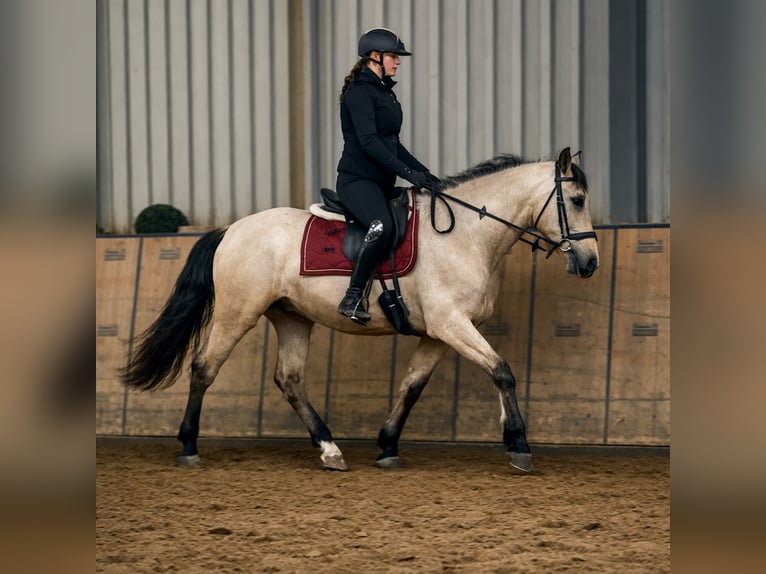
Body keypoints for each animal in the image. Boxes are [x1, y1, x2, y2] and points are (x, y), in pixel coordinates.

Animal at [120, 147, 599, 473]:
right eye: (576, 200)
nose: (590, 262)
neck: (465, 235)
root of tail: (230, 230)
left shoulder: (437, 334)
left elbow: (411, 386)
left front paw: (387, 446)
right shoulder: (452, 325)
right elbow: (502, 371)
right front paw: (518, 444)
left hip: (292, 317)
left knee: (289, 380)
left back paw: (329, 449)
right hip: (237, 313)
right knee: (204, 368)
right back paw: (188, 447)